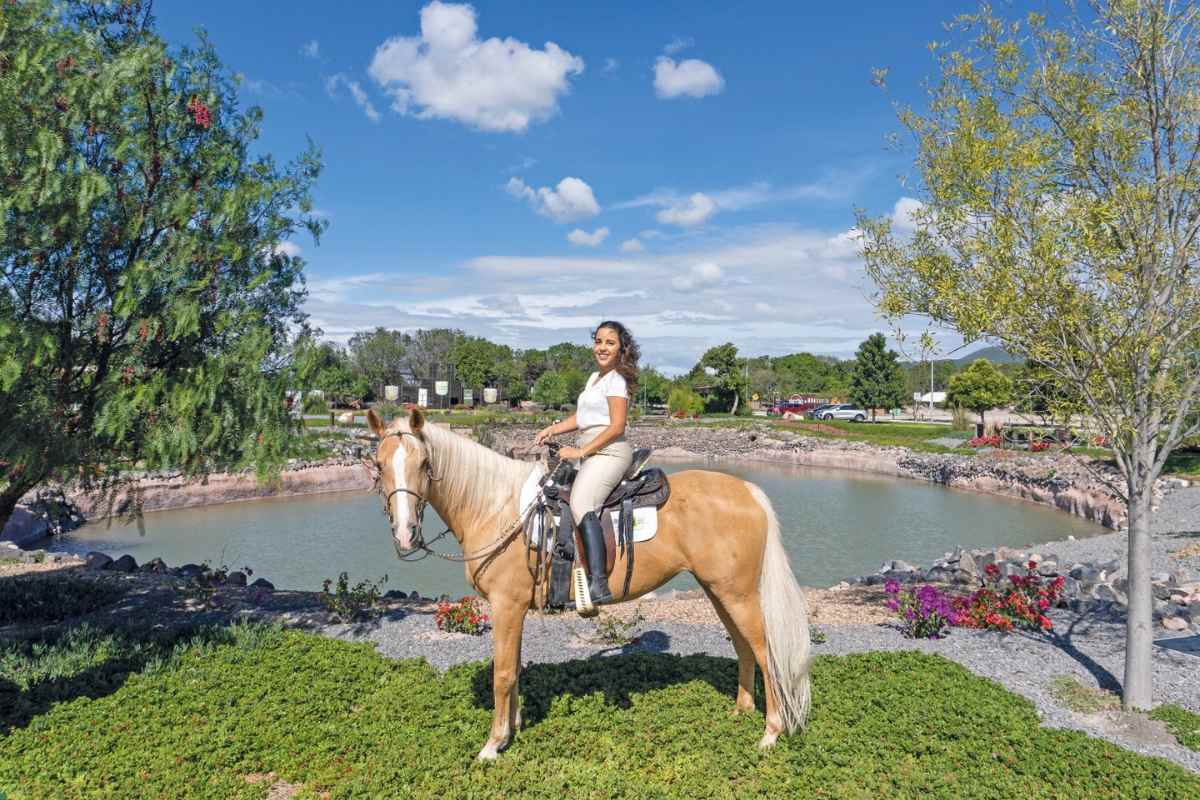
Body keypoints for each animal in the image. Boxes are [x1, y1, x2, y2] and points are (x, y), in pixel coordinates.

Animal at [367, 410, 816, 762]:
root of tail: (747, 490)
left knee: (765, 651)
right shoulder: (514, 609)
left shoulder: (505, 605)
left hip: (737, 593)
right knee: (743, 646)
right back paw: (741, 710)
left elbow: (503, 673)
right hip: (719, 591)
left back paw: (771, 732)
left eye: (425, 463)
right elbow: (515, 669)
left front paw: (493, 745)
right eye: (379, 464)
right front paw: (514, 726)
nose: (405, 534)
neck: (499, 507)